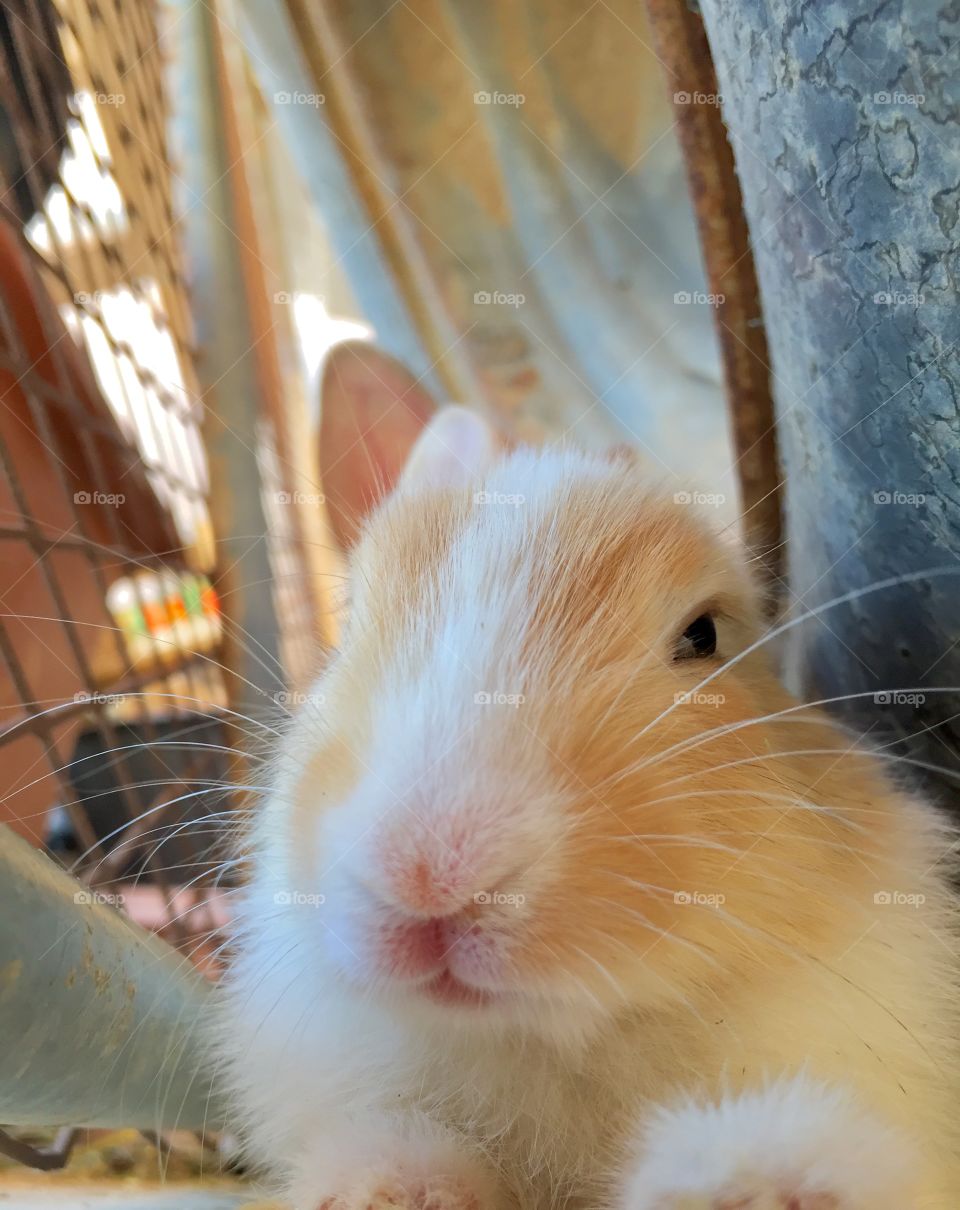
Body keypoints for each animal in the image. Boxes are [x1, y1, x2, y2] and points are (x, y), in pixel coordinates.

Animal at [217, 399, 960, 1210]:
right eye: (350, 623)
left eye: (704, 635)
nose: (429, 873)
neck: (549, 1042)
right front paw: (384, 1188)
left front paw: (749, 1179)